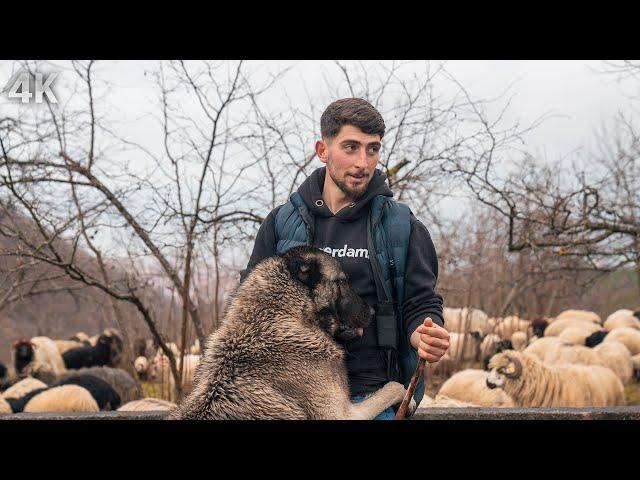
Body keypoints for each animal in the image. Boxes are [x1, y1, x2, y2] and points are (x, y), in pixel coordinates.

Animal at [169, 246, 410, 418]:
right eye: (342, 282)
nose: (373, 311)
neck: (279, 314)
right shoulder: (344, 414)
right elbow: (394, 386)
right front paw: (409, 399)